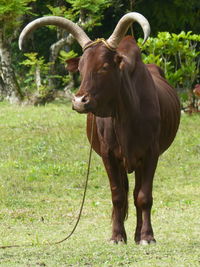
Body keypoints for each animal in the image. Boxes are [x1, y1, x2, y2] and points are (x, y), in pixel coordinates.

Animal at [19, 12, 181, 245]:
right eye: (80, 68)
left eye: (104, 67)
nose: (79, 101)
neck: (126, 115)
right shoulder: (109, 154)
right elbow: (117, 196)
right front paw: (116, 236)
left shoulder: (151, 154)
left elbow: (144, 196)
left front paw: (147, 236)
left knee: (136, 193)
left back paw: (137, 233)